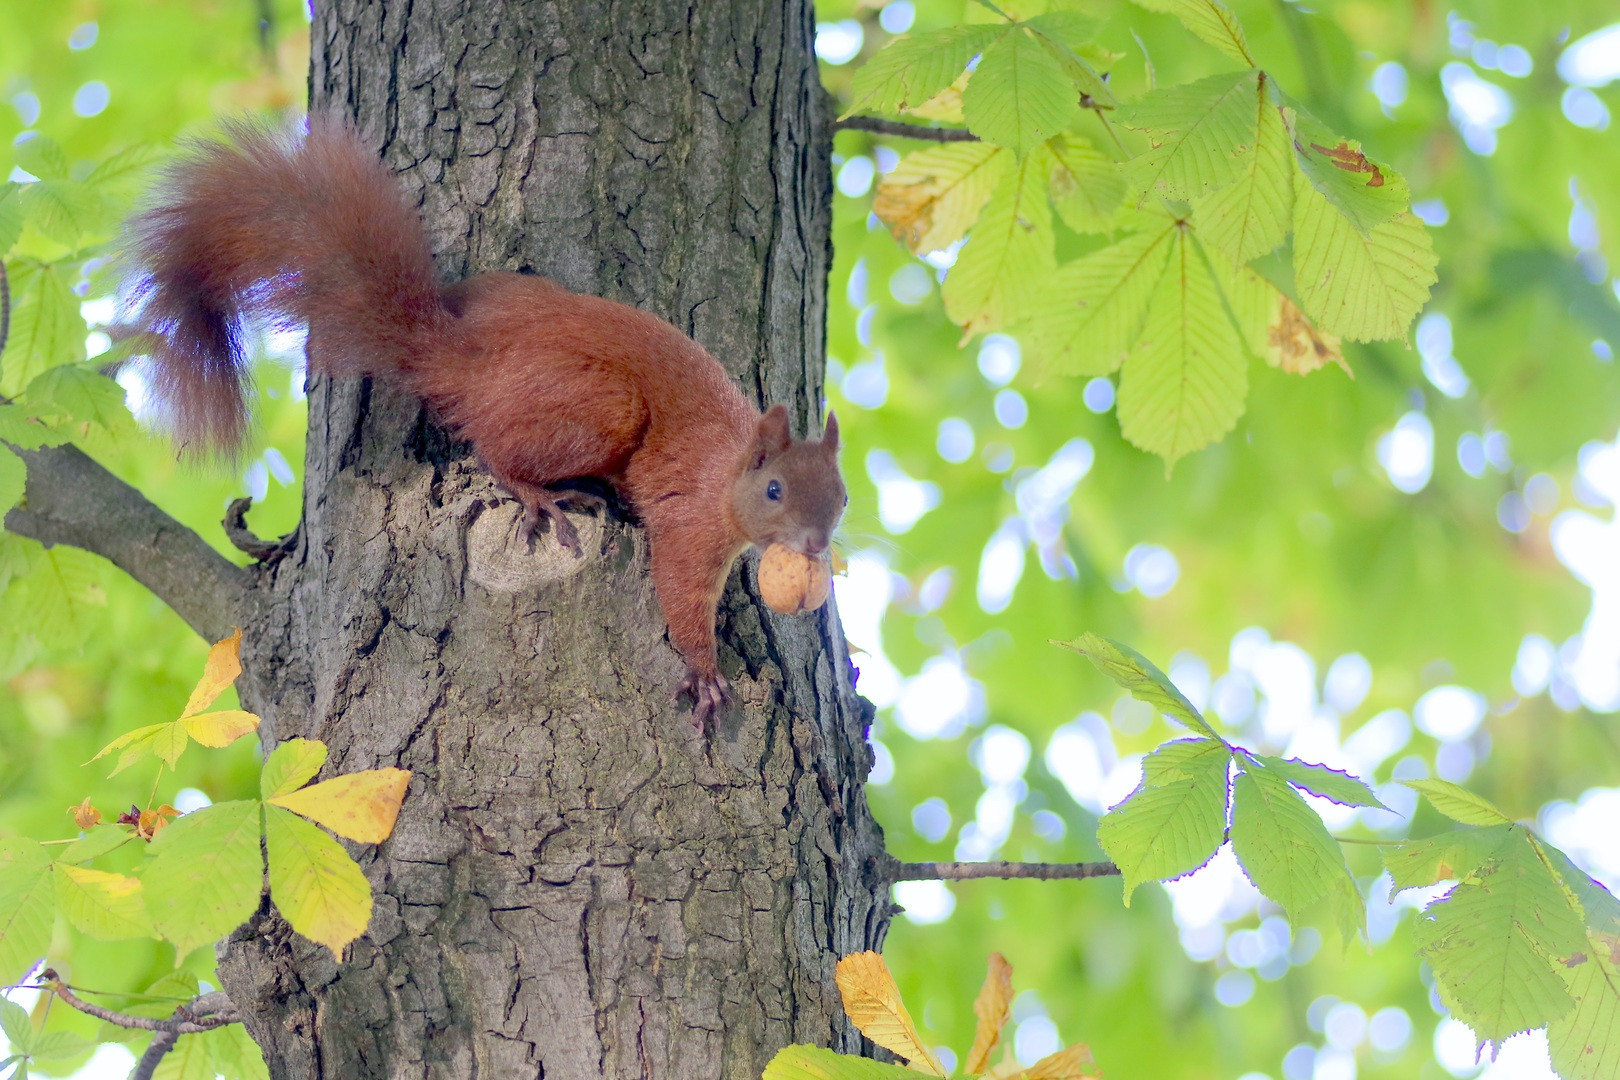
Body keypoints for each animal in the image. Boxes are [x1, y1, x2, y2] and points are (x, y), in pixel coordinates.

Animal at [126, 120, 848, 725]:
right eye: (775, 490)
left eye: (841, 498)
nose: (817, 545)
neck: (731, 466)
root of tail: (472, 363)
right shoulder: (690, 519)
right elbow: (680, 591)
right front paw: (705, 674)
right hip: (601, 410)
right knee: (496, 450)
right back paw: (542, 495)